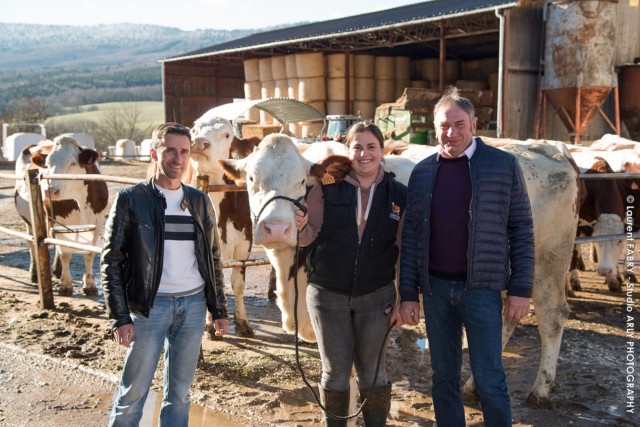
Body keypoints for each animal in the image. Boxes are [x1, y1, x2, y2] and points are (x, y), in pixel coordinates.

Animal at [21, 135, 109, 296]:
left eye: (73, 162)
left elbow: (88, 253)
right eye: (47, 164)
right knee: (32, 243)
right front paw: (66, 285)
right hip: (29, 220)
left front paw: (89, 285)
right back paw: (35, 274)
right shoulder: (58, 220)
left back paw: (56, 270)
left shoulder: (98, 221)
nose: (51, 190)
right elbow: (65, 253)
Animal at [219, 135, 580, 406]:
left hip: (549, 260)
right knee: (504, 320)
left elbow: (352, 374)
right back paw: (474, 388)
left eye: (301, 181)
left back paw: (540, 389)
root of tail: (550, 147)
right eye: (251, 179)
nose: (276, 228)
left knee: (552, 316)